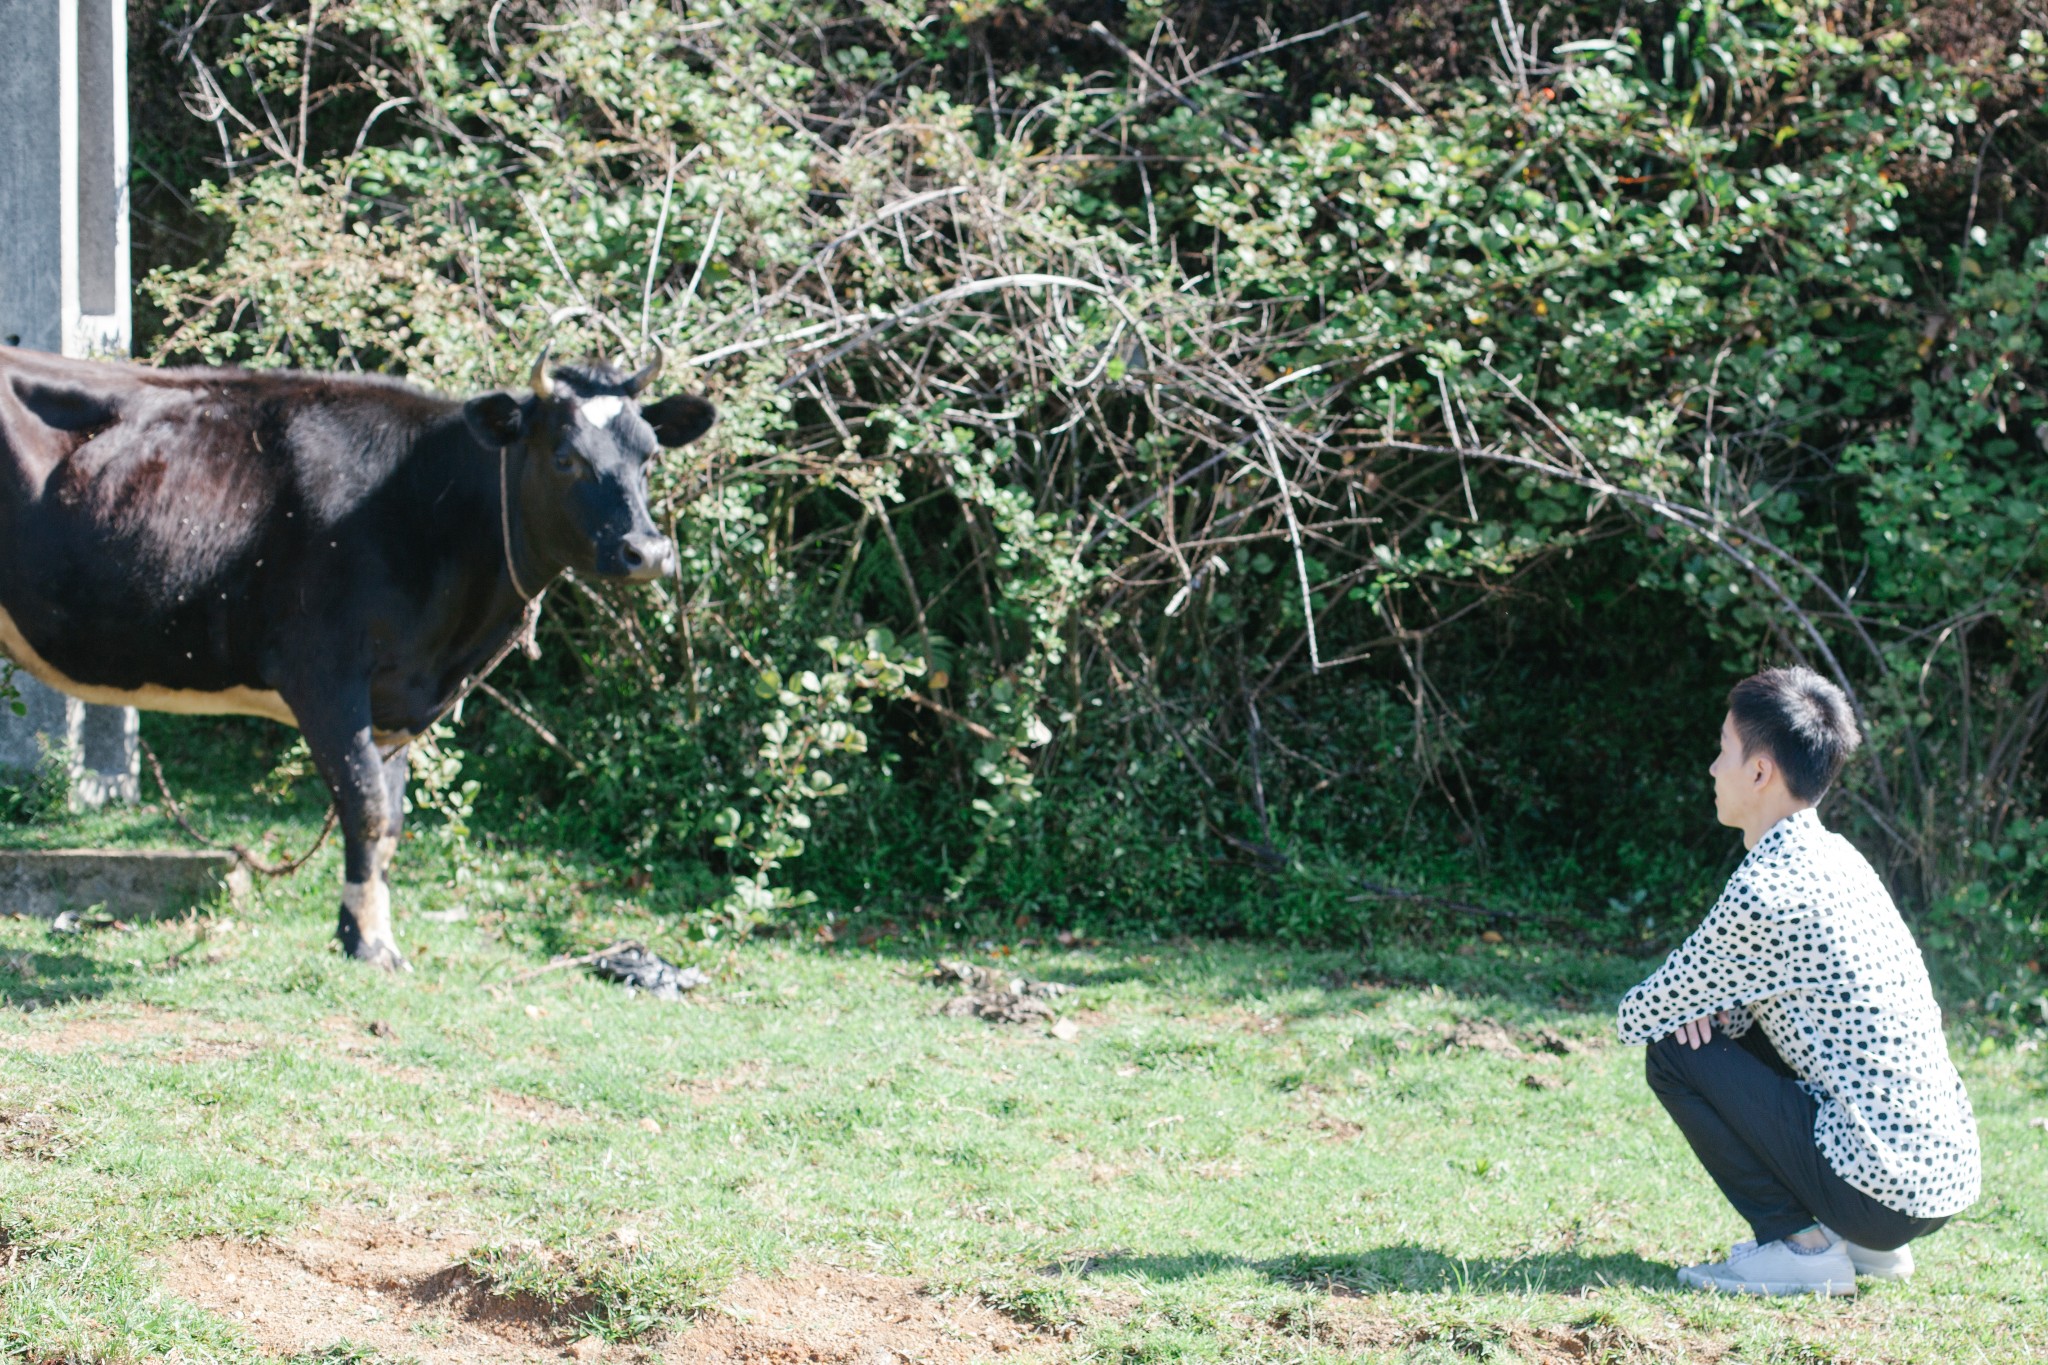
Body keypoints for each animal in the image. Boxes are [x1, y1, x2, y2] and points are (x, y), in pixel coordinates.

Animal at [0, 347, 720, 965]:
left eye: (649, 456)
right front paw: (370, 942)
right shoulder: (322, 674)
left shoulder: (394, 696)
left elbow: (392, 817)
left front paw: (361, 931)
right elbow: (367, 805)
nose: (647, 551)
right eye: (566, 456)